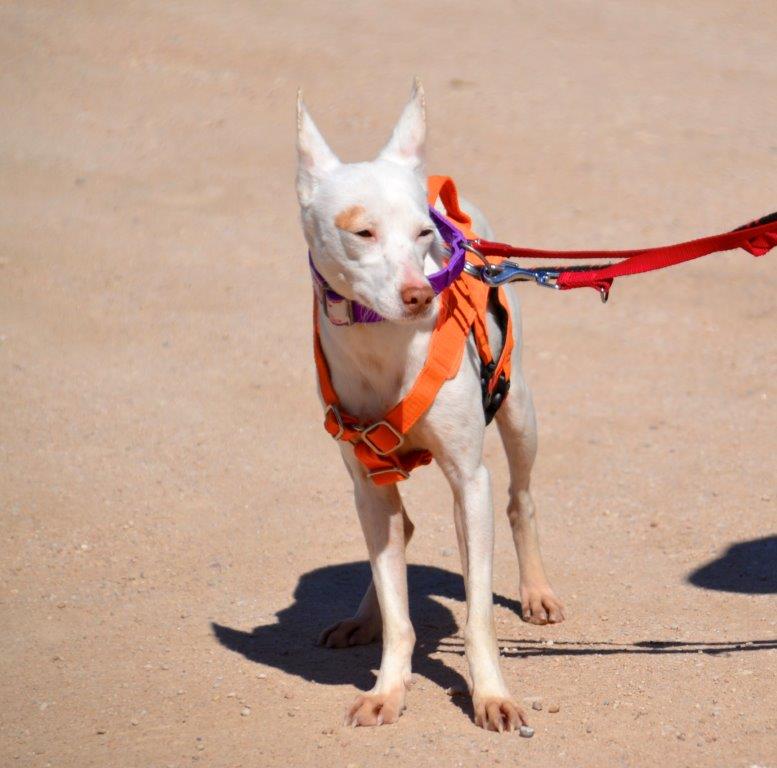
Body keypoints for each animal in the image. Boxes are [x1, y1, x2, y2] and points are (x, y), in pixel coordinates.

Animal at [298, 79, 564, 732]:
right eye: (361, 232)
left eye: (423, 235)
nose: (421, 295)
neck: (386, 348)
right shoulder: (367, 482)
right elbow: (400, 615)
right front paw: (388, 690)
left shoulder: (469, 479)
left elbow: (477, 615)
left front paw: (492, 695)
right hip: (372, 484)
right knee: (401, 532)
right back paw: (362, 615)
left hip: (518, 410)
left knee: (520, 501)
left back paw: (536, 592)